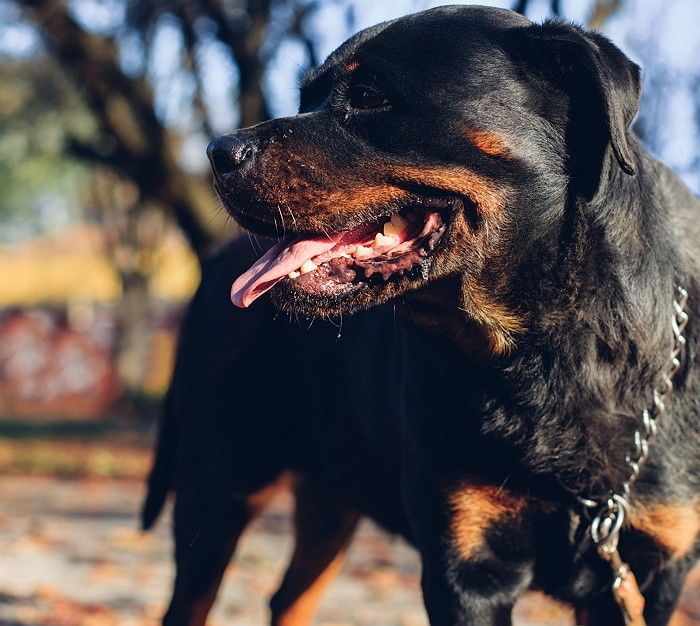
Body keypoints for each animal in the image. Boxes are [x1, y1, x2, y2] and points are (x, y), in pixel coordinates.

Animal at [144, 6, 700, 624]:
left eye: (367, 95)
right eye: (306, 97)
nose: (218, 151)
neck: (552, 353)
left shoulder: (650, 575)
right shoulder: (466, 565)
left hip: (331, 492)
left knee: (288, 596)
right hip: (217, 486)